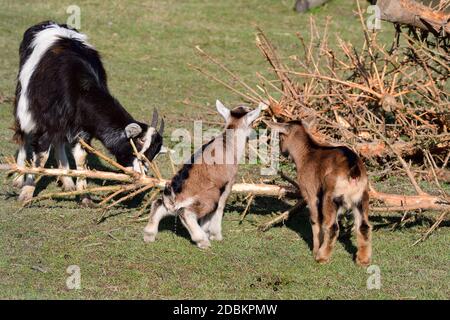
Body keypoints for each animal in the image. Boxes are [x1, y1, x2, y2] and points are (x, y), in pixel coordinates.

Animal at [12, 21, 163, 202]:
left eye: (153, 153)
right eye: (139, 142)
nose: (142, 174)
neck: (80, 88)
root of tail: (46, 23)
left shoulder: (82, 129)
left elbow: (81, 159)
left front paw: (84, 196)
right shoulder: (48, 123)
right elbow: (41, 159)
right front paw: (26, 193)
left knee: (59, 141)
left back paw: (67, 181)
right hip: (23, 101)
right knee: (23, 135)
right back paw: (18, 177)